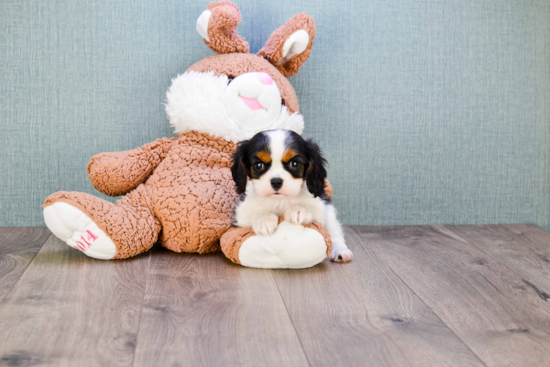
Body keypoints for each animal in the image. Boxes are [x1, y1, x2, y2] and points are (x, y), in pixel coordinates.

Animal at [232, 129, 354, 262]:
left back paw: (340, 250)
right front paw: (264, 219)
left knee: (334, 231)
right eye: (259, 165)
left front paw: (298, 210)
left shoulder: (319, 207)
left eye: (294, 164)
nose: (276, 181)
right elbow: (254, 212)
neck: (279, 200)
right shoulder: (241, 214)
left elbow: (308, 207)